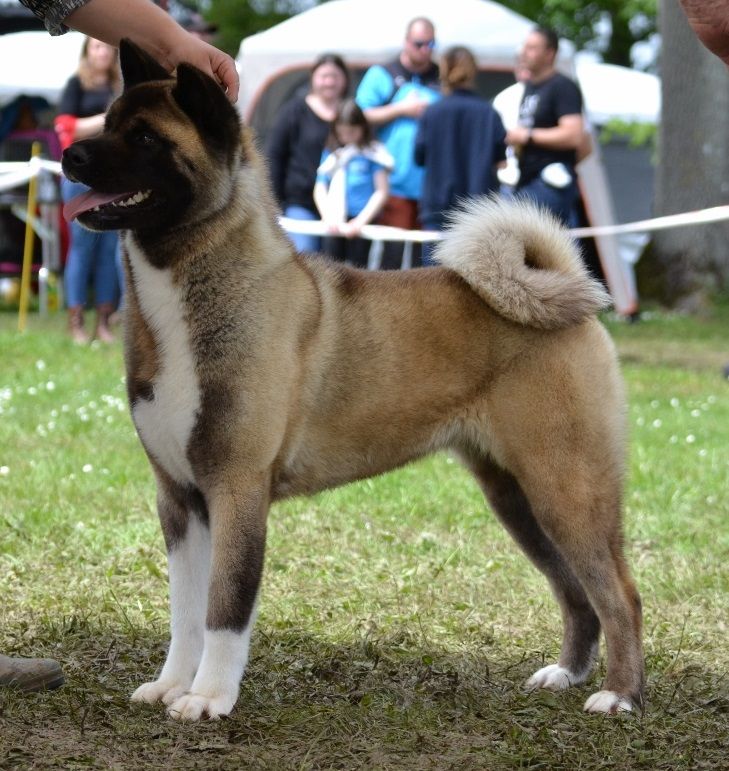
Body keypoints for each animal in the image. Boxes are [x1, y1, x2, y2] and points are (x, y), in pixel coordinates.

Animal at [61, 40, 644, 716]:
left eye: (147, 137)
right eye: (109, 120)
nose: (71, 155)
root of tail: (567, 293)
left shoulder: (236, 490)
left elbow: (225, 609)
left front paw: (209, 698)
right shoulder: (179, 500)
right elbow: (185, 613)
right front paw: (173, 684)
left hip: (567, 489)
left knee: (619, 594)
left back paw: (619, 696)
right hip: (518, 497)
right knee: (576, 592)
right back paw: (567, 674)